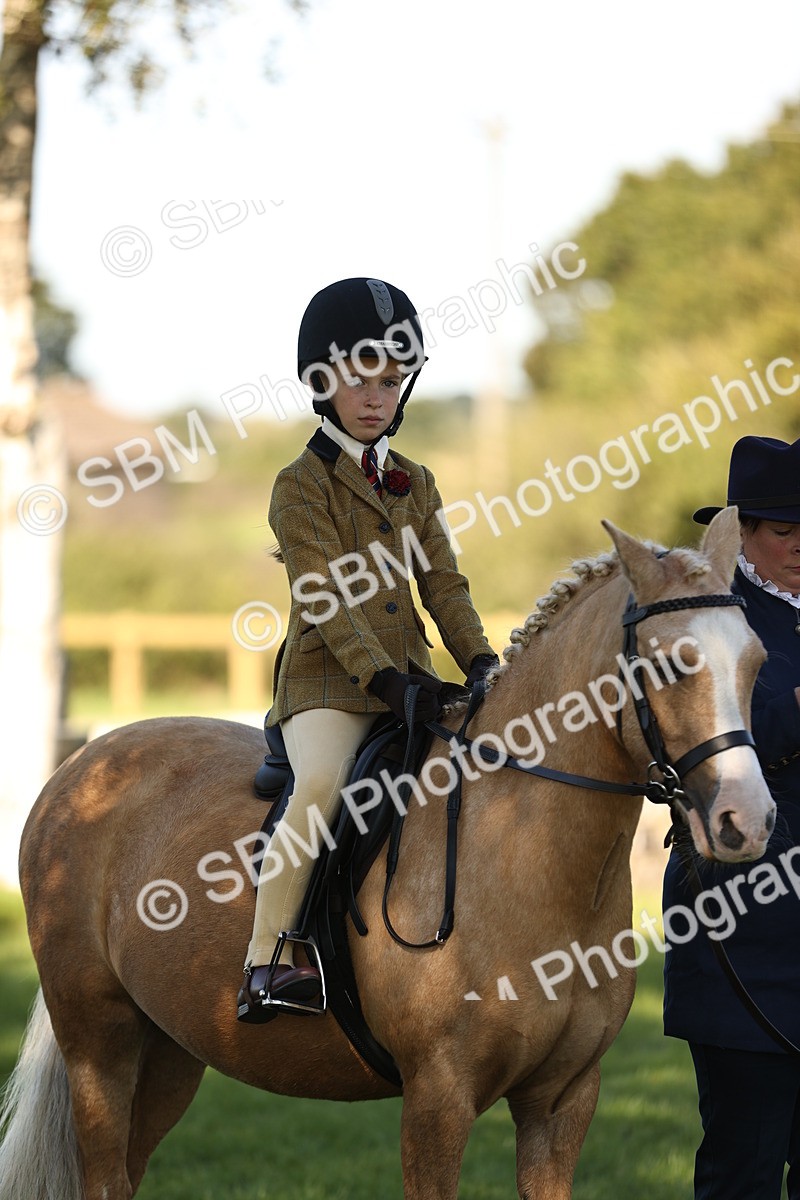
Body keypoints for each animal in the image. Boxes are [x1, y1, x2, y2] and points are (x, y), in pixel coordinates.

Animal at [0, 508, 777, 1200]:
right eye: (672, 664)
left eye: (757, 661)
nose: (748, 819)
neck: (529, 862)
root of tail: (84, 764)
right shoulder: (437, 1099)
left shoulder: (563, 1102)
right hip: (99, 1042)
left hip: (167, 1049)